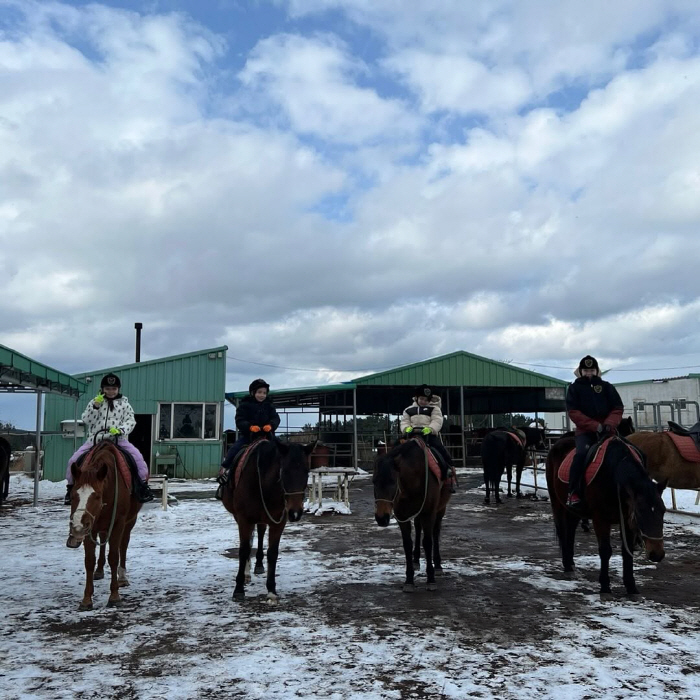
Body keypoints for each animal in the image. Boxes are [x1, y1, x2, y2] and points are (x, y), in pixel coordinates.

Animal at [65, 440, 142, 608]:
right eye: (73, 494)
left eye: (97, 496)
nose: (77, 527)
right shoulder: (90, 527)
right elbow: (89, 560)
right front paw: (87, 599)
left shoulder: (118, 522)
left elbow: (114, 556)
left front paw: (114, 596)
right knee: (102, 539)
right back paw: (99, 570)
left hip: (129, 521)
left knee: (123, 545)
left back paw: (122, 577)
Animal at [221, 438, 314, 600]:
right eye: (284, 471)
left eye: (306, 472)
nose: (295, 512)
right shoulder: (244, 520)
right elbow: (243, 550)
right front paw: (238, 588)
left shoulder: (278, 522)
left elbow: (272, 552)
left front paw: (271, 589)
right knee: (248, 542)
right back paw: (246, 573)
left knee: (260, 533)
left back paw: (258, 565)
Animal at [374, 438, 452, 592]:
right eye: (374, 482)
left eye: (392, 482)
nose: (381, 518)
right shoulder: (402, 516)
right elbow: (407, 544)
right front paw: (409, 580)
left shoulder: (429, 512)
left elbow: (427, 542)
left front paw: (430, 579)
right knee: (417, 527)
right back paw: (416, 560)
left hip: (440, 509)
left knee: (435, 533)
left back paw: (438, 565)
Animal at [544, 434, 664, 600]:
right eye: (640, 513)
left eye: (664, 511)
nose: (657, 554)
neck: (614, 476)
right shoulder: (600, 519)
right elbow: (605, 551)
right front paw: (605, 587)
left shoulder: (627, 520)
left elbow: (627, 552)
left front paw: (631, 587)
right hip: (557, 503)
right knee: (563, 531)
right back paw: (567, 566)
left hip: (574, 511)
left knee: (571, 531)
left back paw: (571, 563)